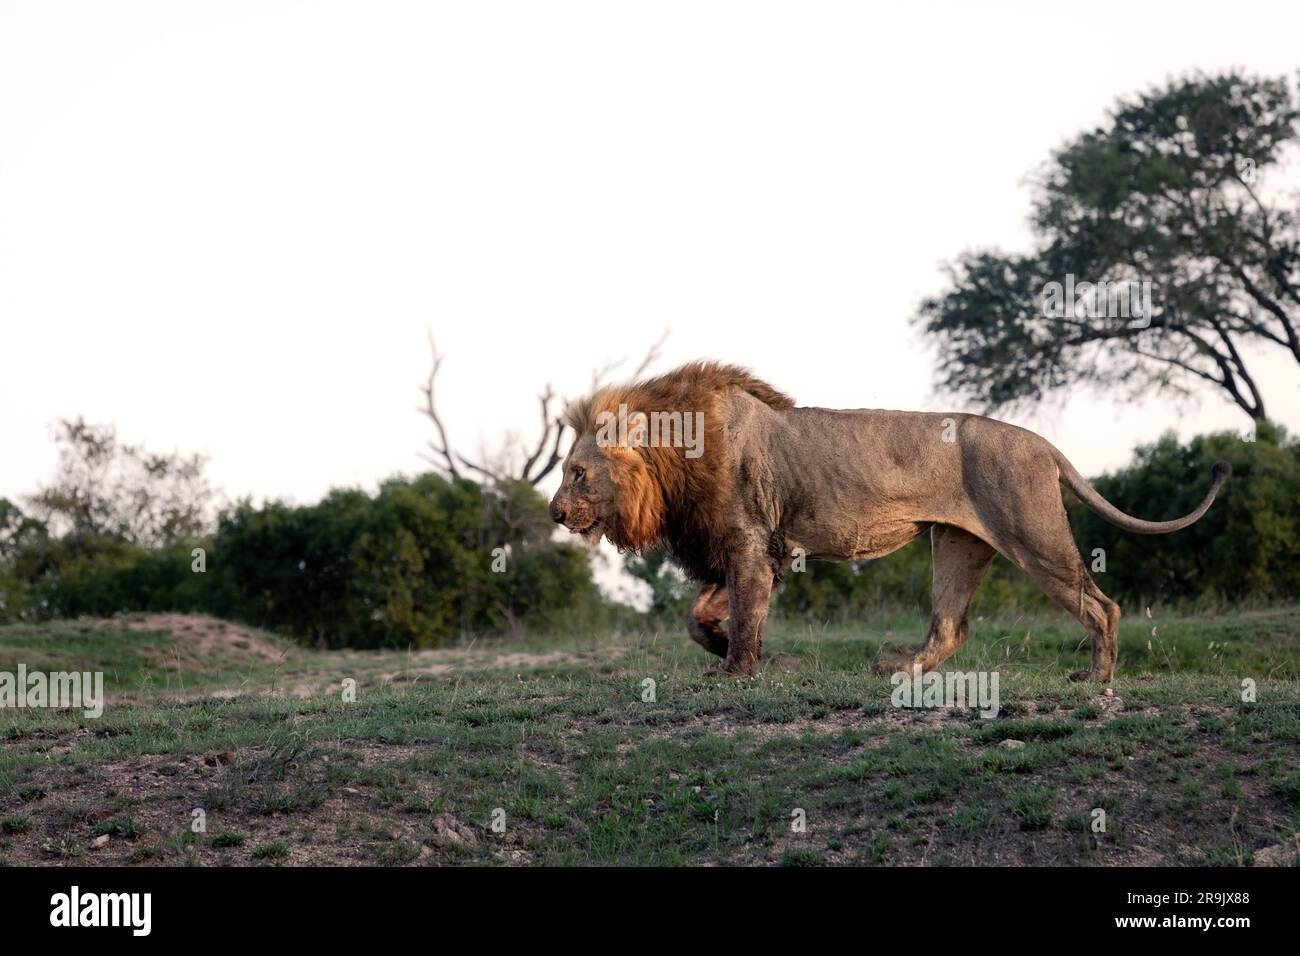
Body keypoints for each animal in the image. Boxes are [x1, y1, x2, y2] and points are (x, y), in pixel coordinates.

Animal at [548, 361, 1230, 683]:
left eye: (577, 473)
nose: (554, 513)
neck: (671, 460)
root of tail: (1042, 443)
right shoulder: (746, 550)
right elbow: (699, 618)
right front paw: (725, 650)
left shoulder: (747, 543)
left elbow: (743, 616)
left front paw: (736, 669)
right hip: (957, 545)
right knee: (951, 628)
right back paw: (899, 670)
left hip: (1033, 534)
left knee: (1102, 606)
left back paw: (1094, 679)